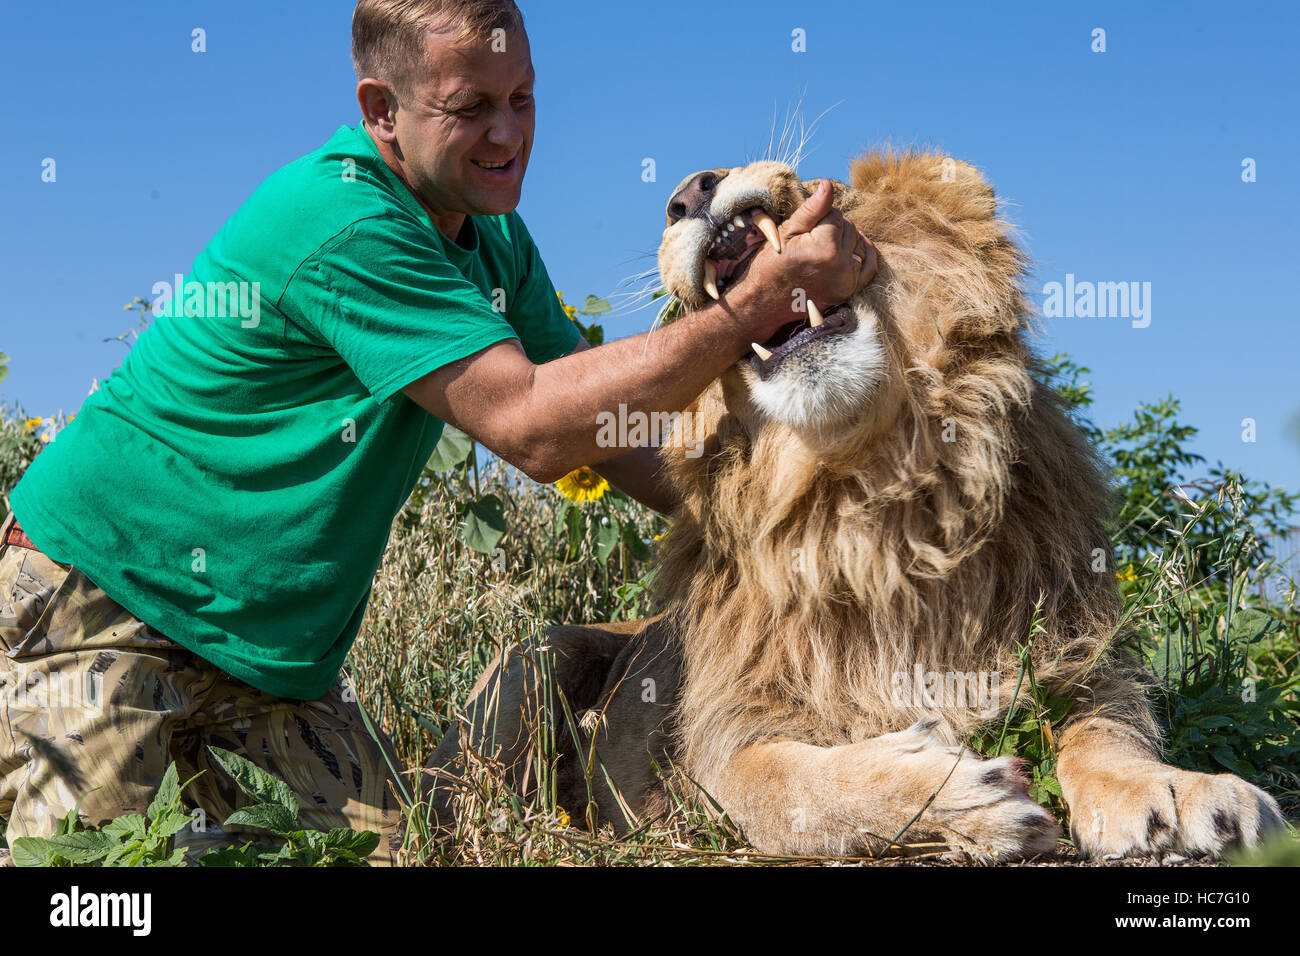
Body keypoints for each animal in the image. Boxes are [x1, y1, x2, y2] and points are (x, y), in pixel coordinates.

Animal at [428, 153, 1289, 863]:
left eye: (825, 188)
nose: (688, 194)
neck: (868, 497)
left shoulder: (1075, 658)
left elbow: (1111, 733)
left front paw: (1181, 796)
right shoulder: (722, 746)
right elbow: (794, 791)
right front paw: (960, 798)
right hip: (535, 656)